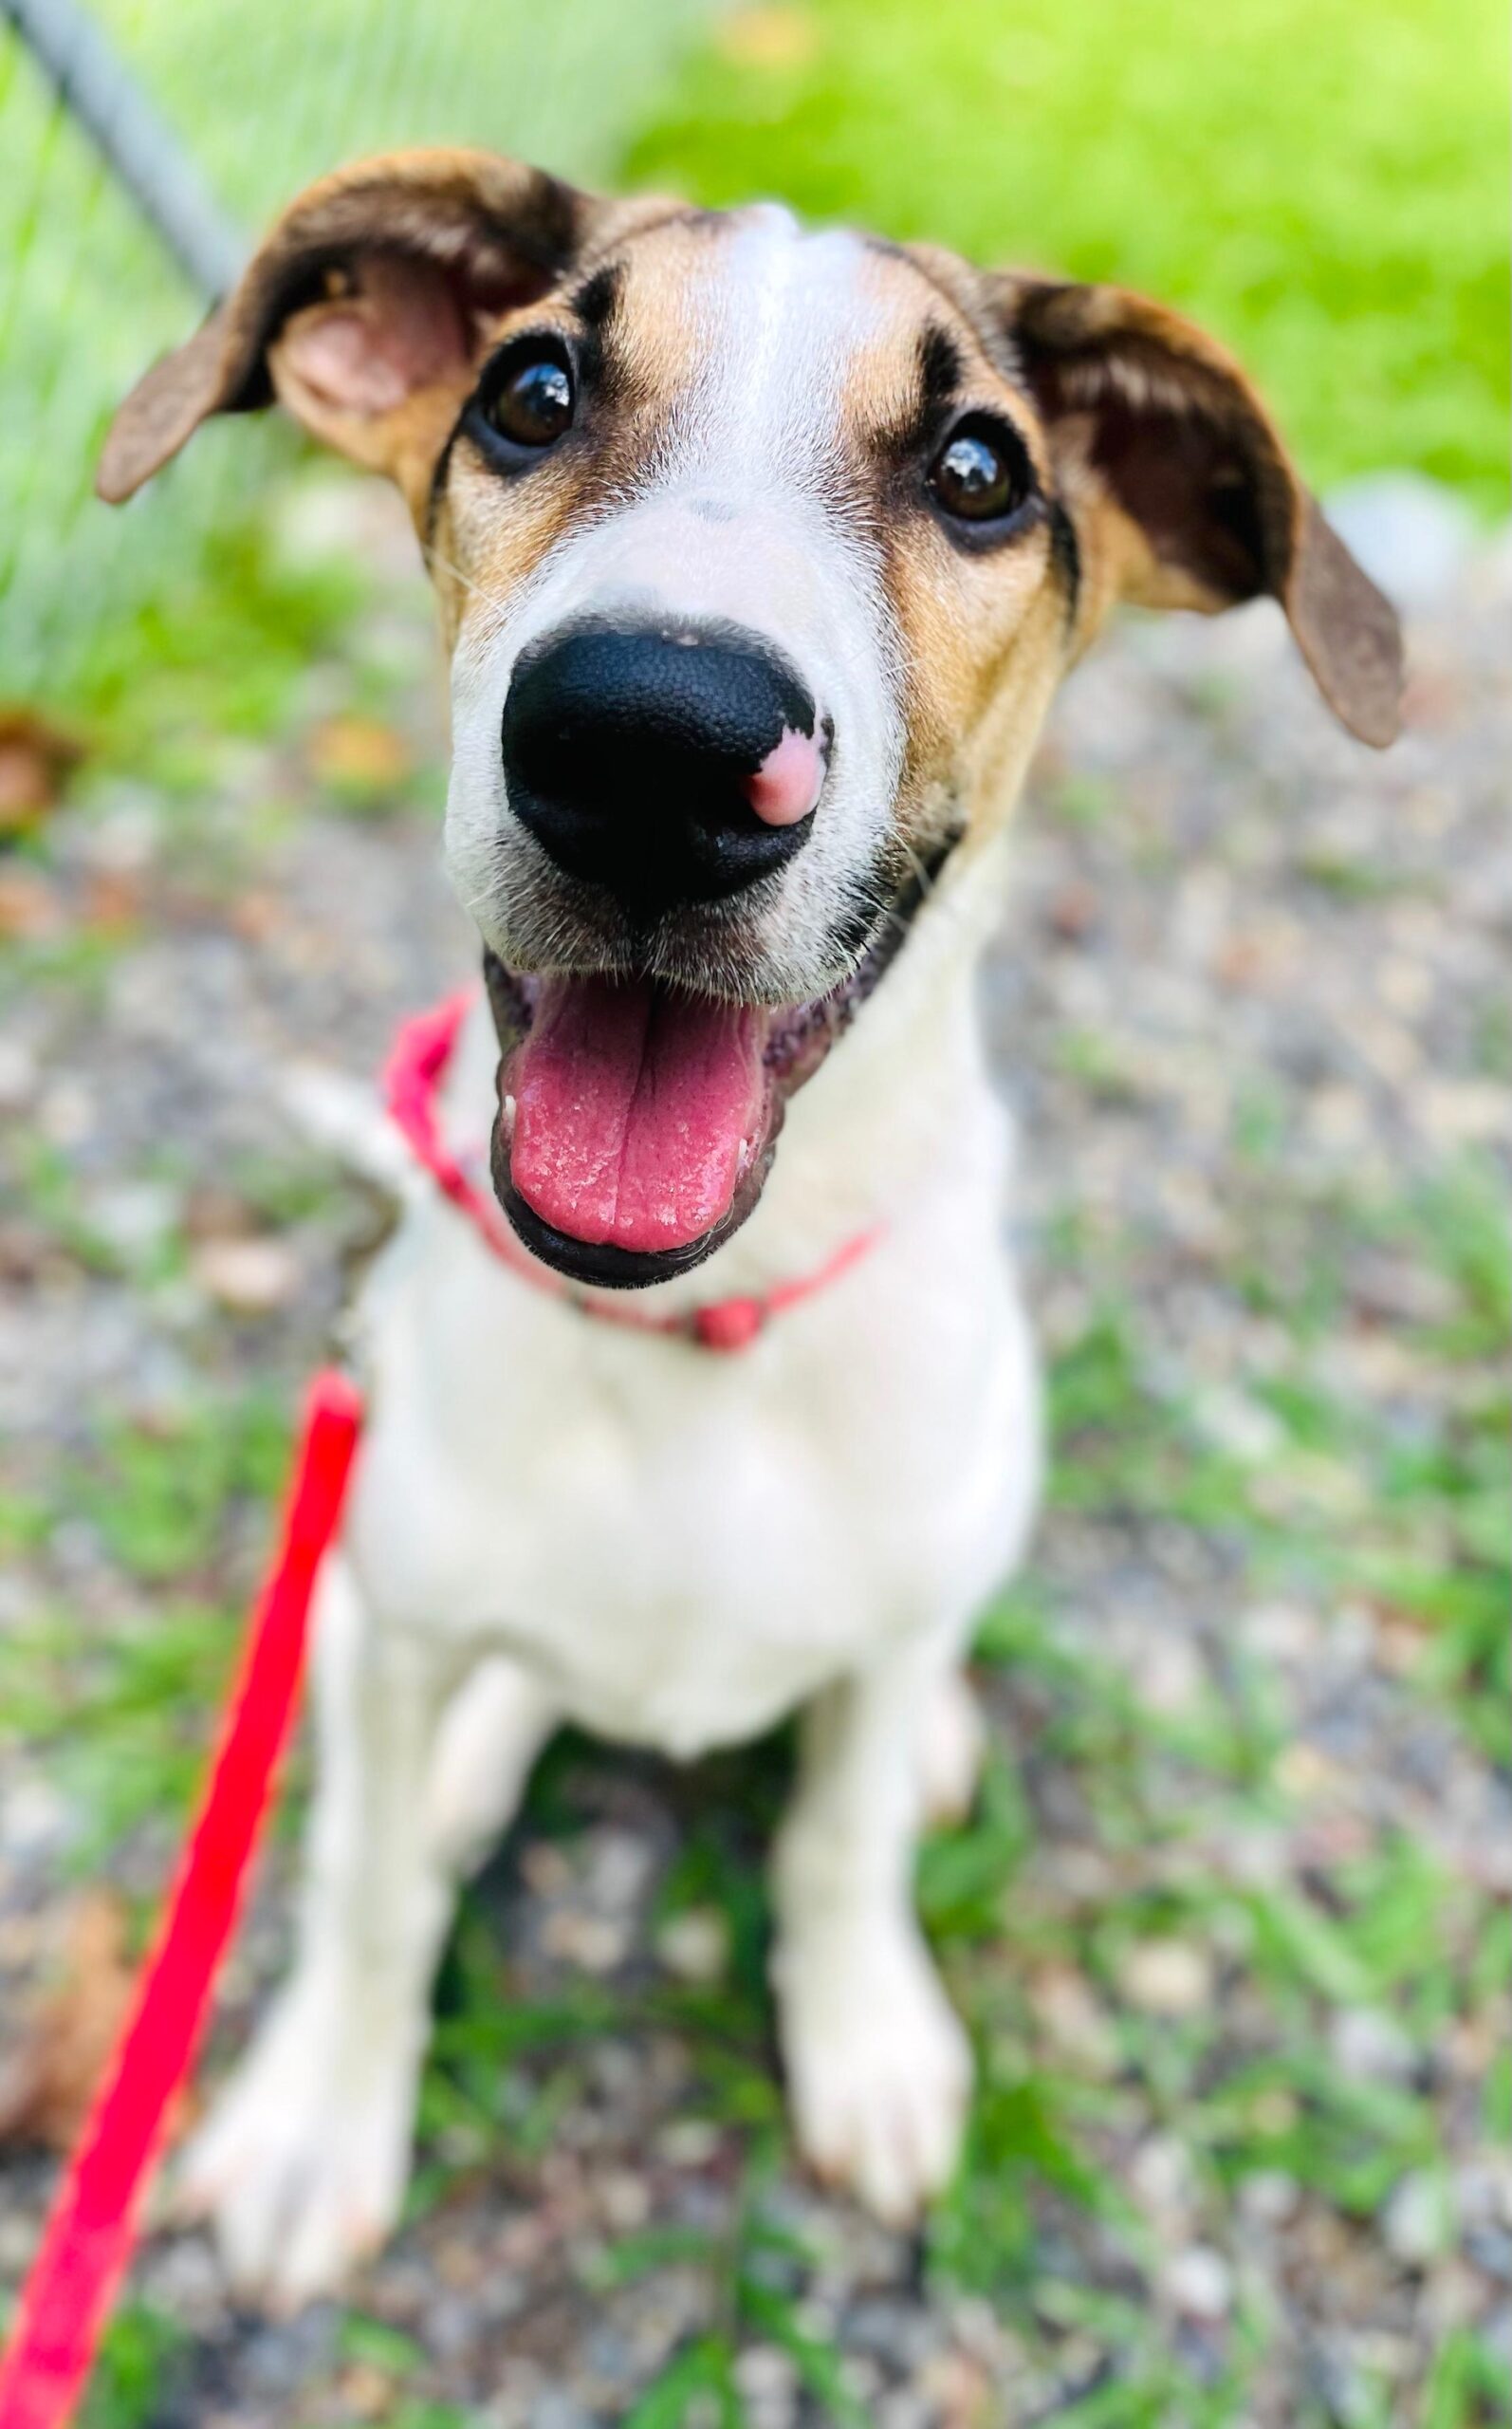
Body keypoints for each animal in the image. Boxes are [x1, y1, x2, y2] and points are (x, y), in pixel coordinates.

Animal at [101, 141, 1407, 2302]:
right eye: (529, 394)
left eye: (975, 468)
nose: (648, 742)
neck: (697, 1335)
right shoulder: (387, 1630)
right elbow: (365, 1883)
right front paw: (314, 2117)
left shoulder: (876, 1629)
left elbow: (840, 1832)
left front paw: (864, 2030)